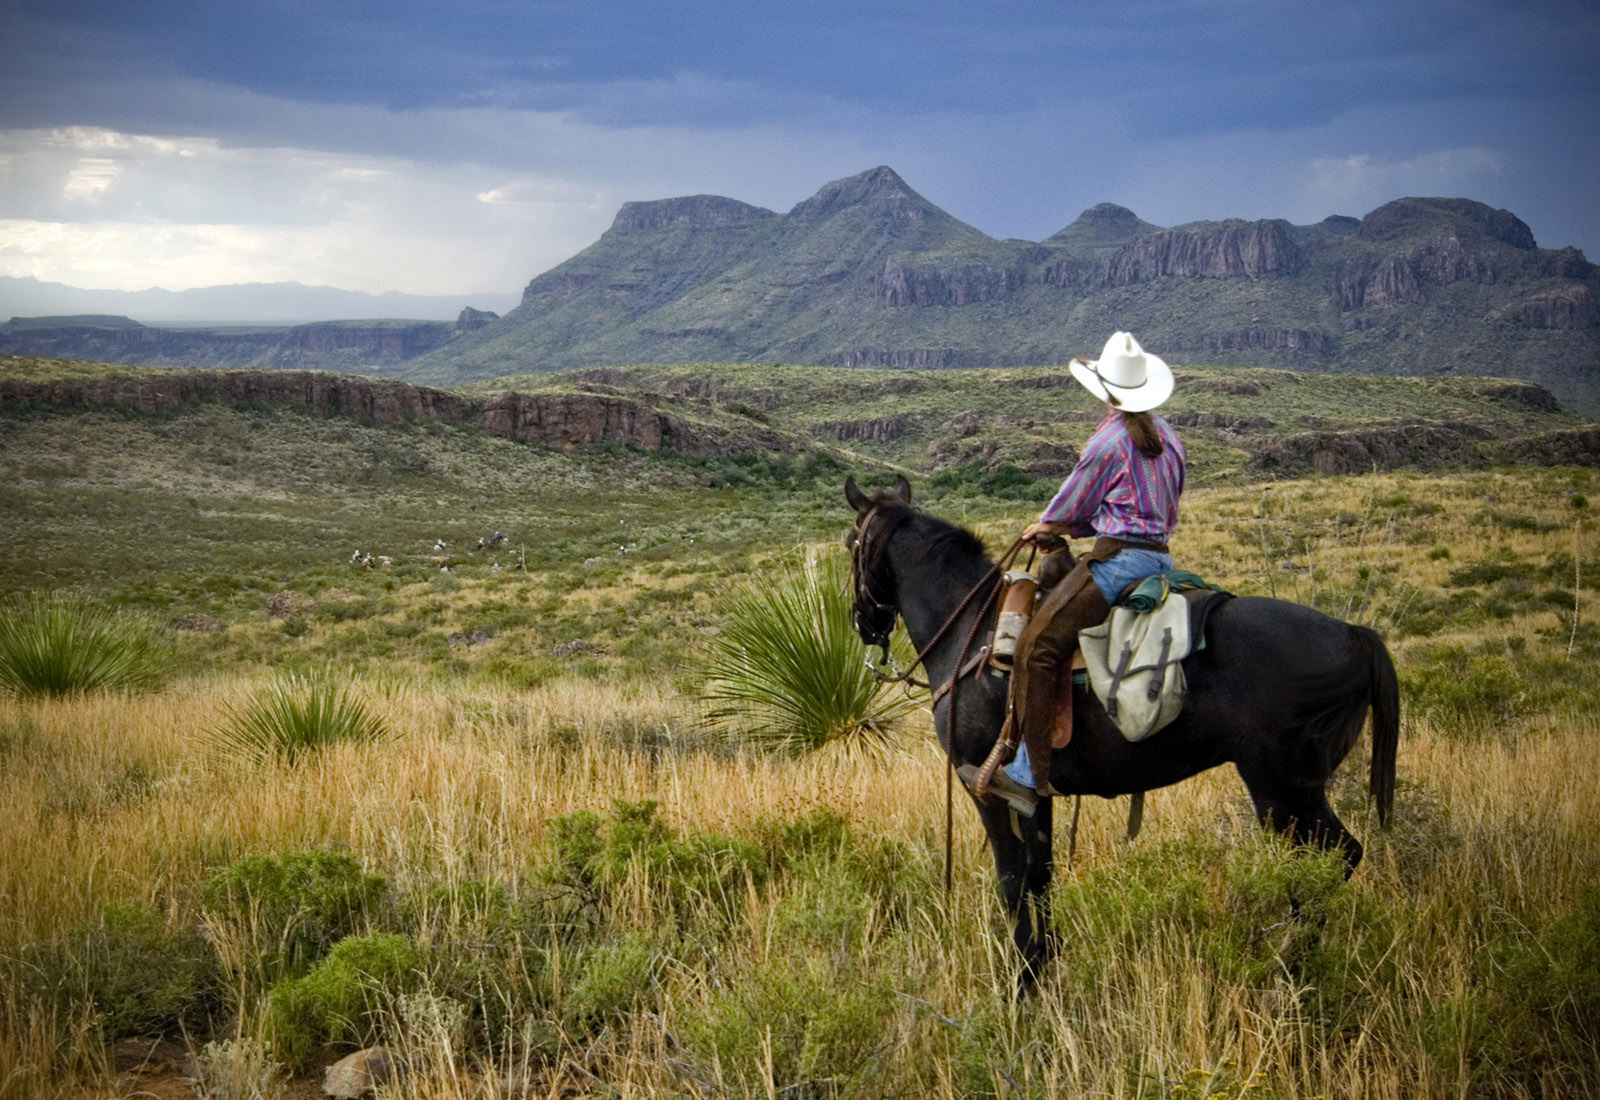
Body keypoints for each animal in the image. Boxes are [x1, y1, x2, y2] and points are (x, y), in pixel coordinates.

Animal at [844, 476, 1395, 984]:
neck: (972, 634)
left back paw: (1288, 968)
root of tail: (1356, 635)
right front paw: (1043, 964)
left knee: (1330, 858)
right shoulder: (1034, 793)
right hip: (1298, 789)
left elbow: (1012, 881)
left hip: (1280, 789)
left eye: (851, 543)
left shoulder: (984, 784)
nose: (863, 624)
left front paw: (1020, 982)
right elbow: (1040, 875)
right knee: (1334, 859)